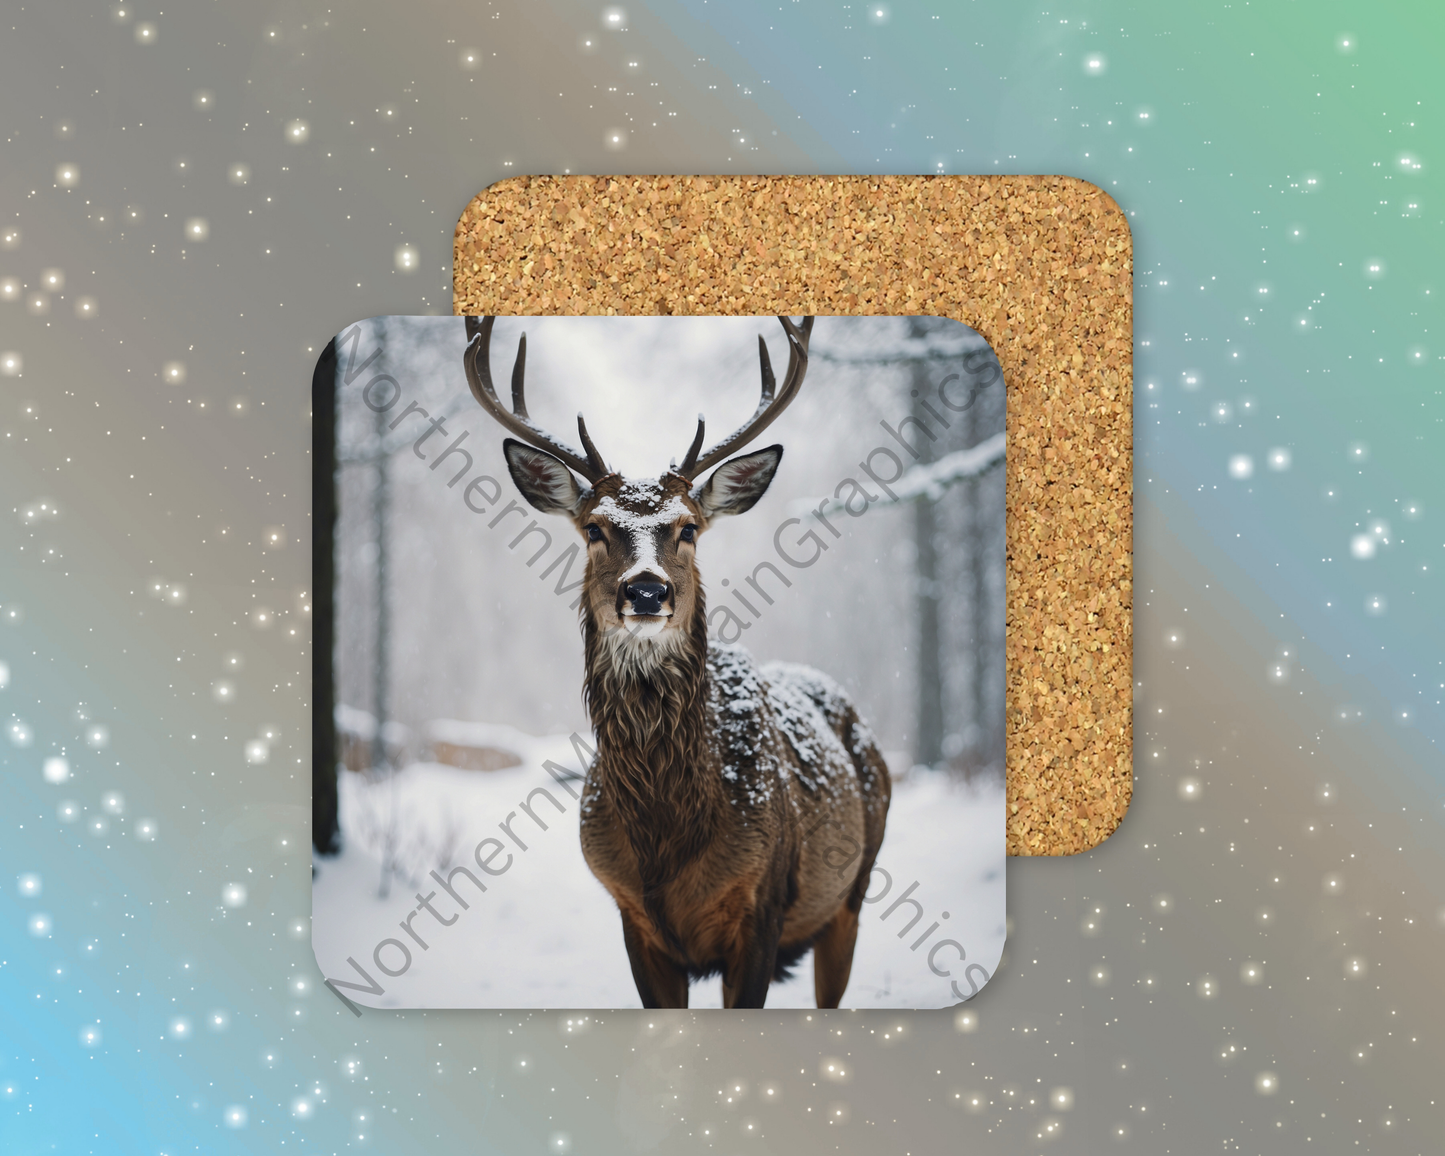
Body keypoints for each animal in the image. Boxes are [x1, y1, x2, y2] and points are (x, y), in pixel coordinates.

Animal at [462, 315, 891, 1008]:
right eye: (594, 528)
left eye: (688, 527)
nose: (645, 591)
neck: (667, 832)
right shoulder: (634, 917)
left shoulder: (761, 906)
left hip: (853, 891)